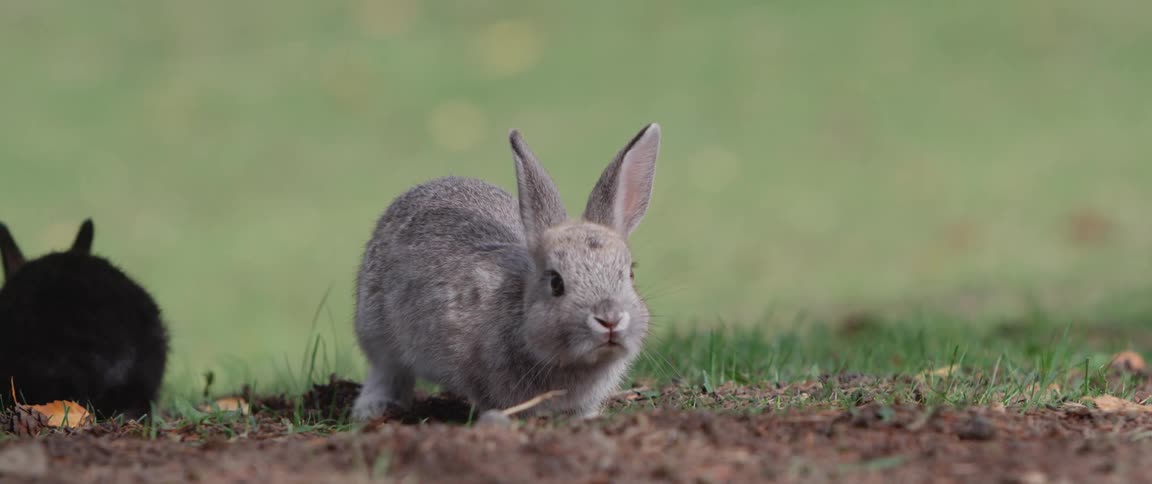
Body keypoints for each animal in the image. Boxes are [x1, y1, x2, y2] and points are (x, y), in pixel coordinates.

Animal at [353, 123, 661, 421]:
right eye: (556, 283)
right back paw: (373, 408)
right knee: (387, 370)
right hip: (376, 329)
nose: (610, 319)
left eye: (630, 274)